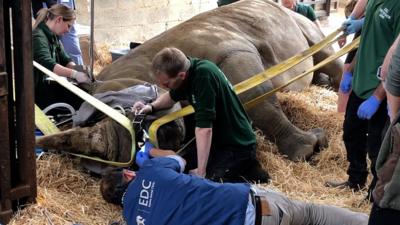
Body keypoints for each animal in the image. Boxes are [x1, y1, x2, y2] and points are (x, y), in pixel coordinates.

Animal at [36, 0, 340, 167]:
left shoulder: (233, 51)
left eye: (130, 110)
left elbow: (260, 99)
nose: (128, 146)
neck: (143, 69)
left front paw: (305, 149)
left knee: (321, 45)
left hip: (293, 17)